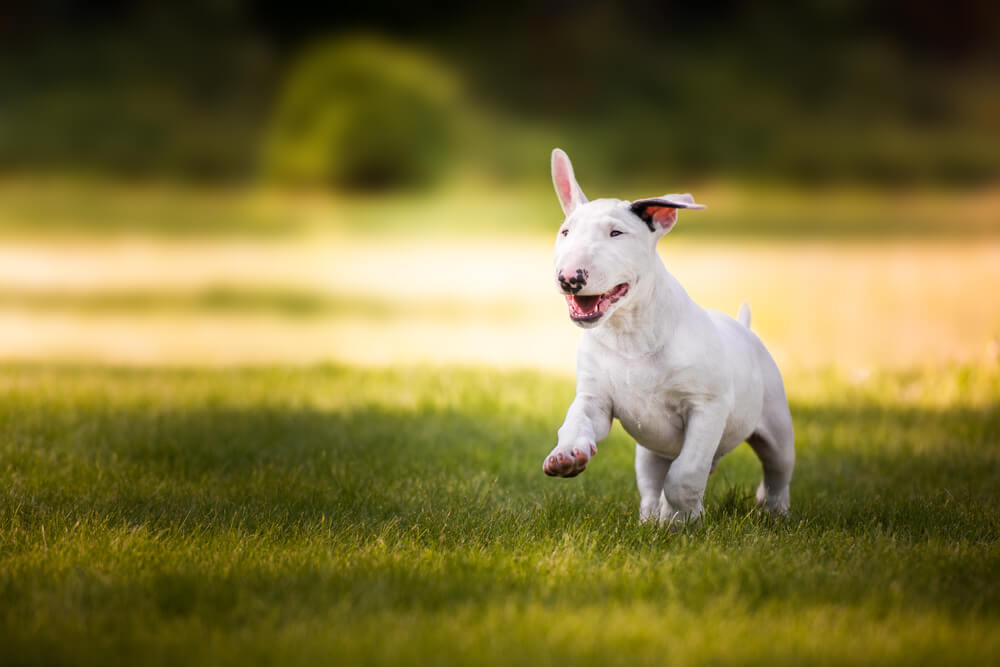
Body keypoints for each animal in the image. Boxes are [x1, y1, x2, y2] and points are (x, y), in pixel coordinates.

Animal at [544, 149, 792, 524]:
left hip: (776, 426)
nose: (569, 277)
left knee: (776, 470)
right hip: (649, 451)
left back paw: (773, 510)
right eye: (565, 232)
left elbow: (685, 474)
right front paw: (567, 455)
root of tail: (744, 328)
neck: (630, 333)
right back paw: (650, 518)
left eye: (616, 233)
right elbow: (578, 420)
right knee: (651, 480)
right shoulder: (595, 399)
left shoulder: (707, 408)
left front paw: (682, 518)